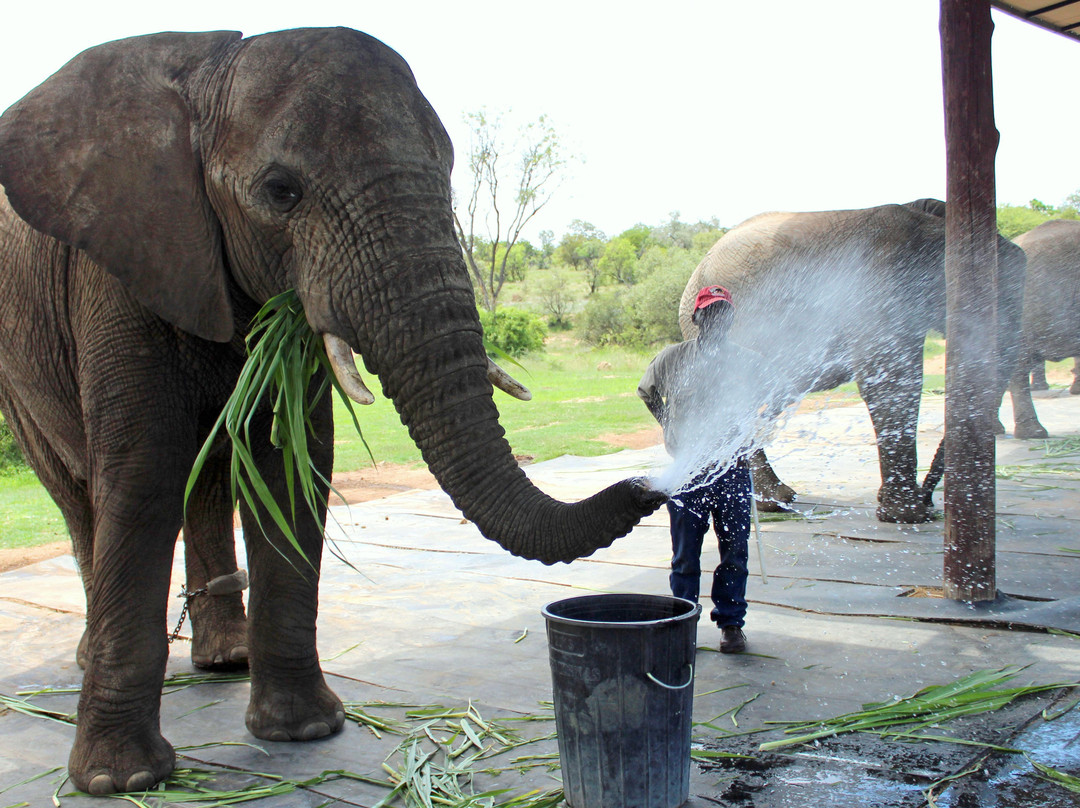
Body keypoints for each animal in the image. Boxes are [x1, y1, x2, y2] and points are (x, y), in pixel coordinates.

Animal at [0, 29, 664, 795]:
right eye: (280, 192)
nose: (649, 484)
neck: (206, 76)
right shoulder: (117, 268)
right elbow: (141, 479)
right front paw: (121, 781)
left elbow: (291, 469)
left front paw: (304, 733)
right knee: (79, 494)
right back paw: (98, 661)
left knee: (204, 485)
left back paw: (227, 660)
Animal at [678, 198, 1025, 524]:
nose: (930, 501)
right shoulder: (878, 289)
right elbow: (891, 380)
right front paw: (905, 516)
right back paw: (770, 502)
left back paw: (772, 500)